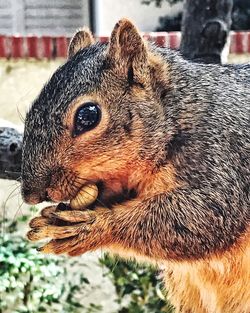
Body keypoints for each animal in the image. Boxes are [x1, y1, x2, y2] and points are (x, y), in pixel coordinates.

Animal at [21, 19, 250, 312]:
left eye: (87, 116)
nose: (32, 194)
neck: (180, 114)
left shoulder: (225, 160)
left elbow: (204, 216)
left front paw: (90, 226)